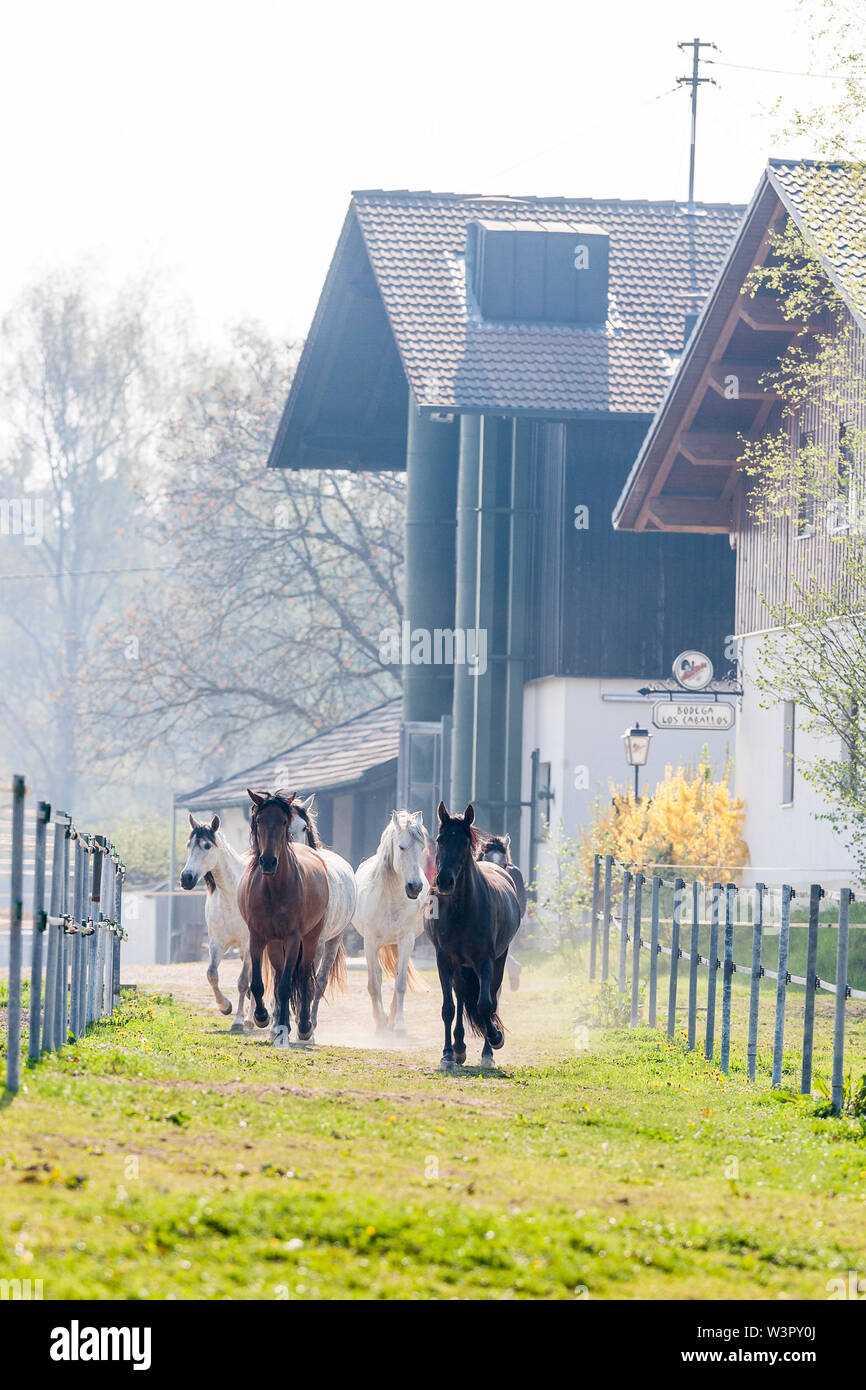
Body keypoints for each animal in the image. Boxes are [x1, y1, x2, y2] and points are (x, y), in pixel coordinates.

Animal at [179, 814, 253, 1032]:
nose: (186, 878)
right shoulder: (216, 943)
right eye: (188, 845)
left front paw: (237, 1021)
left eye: (206, 845)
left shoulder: (248, 944)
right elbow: (211, 974)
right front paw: (225, 1006)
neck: (232, 896)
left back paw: (253, 1019)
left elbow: (243, 982)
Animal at [237, 790, 330, 1047]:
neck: (274, 889)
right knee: (279, 978)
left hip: (310, 939)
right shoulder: (257, 937)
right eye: (259, 820)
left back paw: (304, 1027)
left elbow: (288, 985)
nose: (268, 861)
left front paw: (286, 1027)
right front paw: (262, 1017)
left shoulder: (293, 938)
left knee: (304, 977)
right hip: (275, 945)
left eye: (283, 822)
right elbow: (259, 984)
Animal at [286, 794, 354, 1030]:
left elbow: (308, 981)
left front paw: (303, 1024)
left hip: (333, 941)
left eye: (304, 827)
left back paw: (310, 1022)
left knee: (320, 981)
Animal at [353, 809, 430, 1034]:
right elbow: (373, 982)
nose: (415, 887)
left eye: (422, 847)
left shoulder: (406, 940)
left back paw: (393, 1017)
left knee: (397, 974)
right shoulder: (370, 942)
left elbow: (401, 982)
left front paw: (399, 1024)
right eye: (402, 847)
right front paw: (379, 1021)